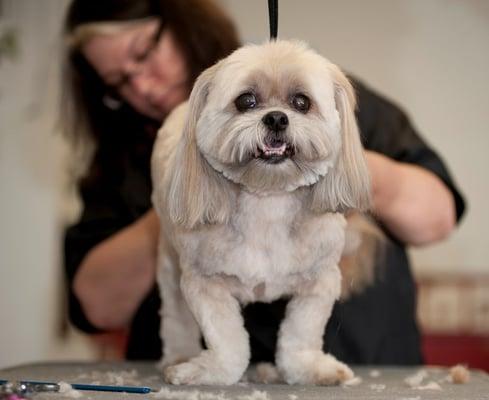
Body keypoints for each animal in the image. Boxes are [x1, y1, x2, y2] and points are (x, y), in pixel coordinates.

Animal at [152, 39, 370, 384]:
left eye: (301, 102)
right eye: (246, 101)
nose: (277, 118)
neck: (267, 200)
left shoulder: (320, 280)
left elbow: (301, 334)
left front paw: (309, 368)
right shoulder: (203, 283)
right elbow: (227, 341)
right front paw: (207, 371)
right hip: (169, 263)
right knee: (174, 315)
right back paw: (179, 355)